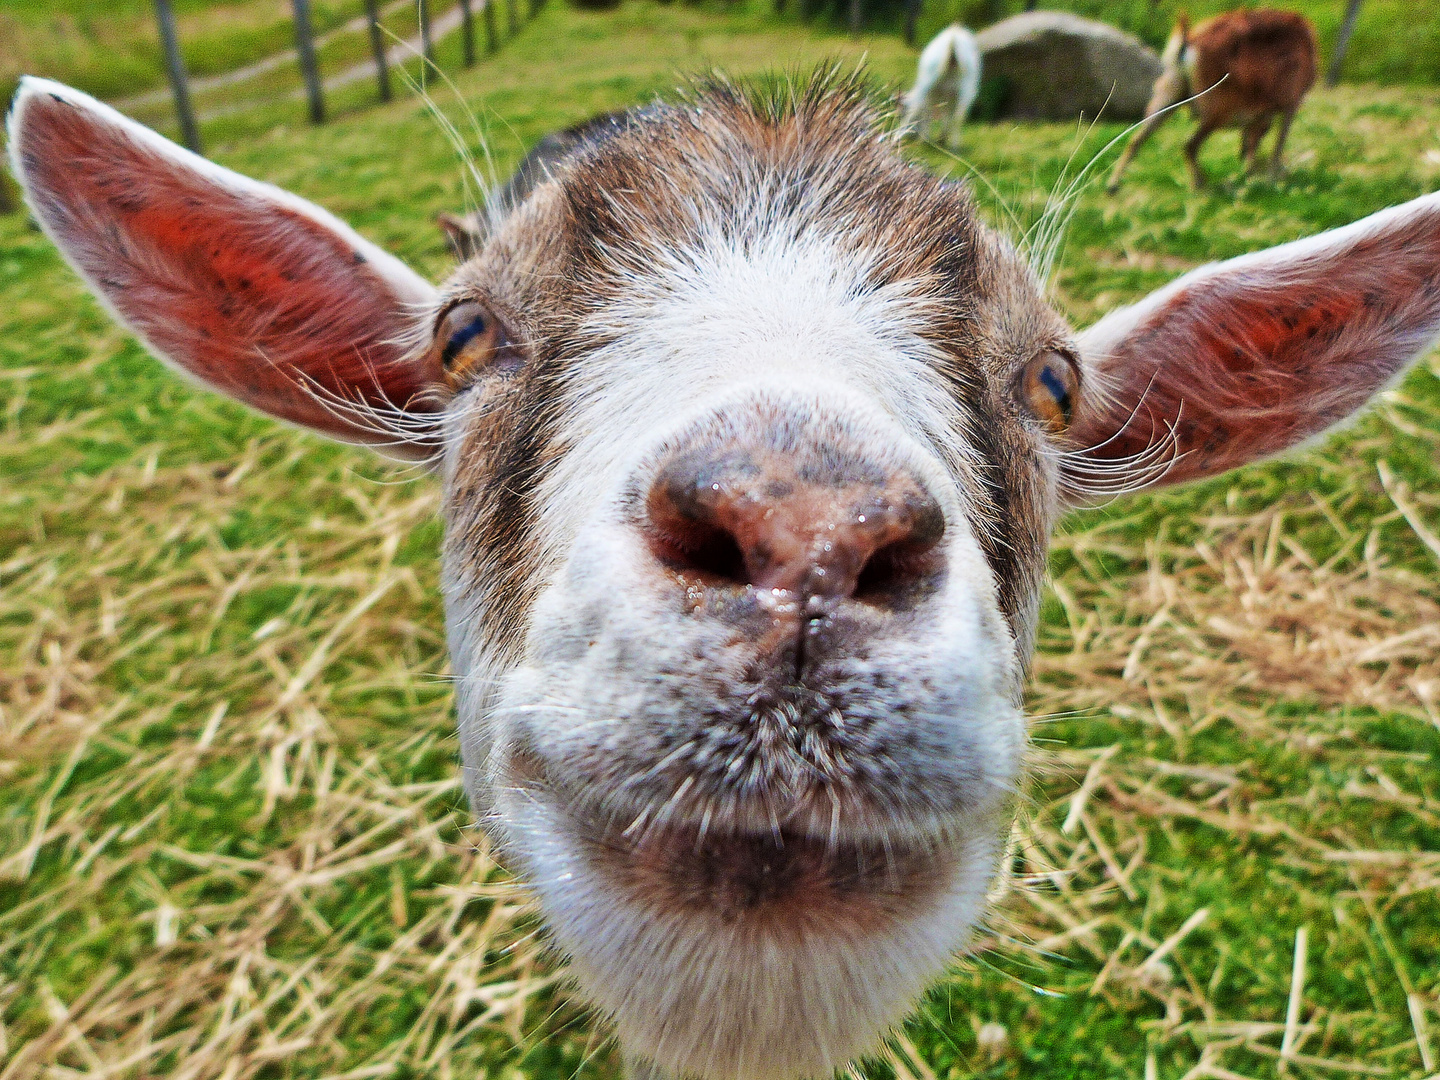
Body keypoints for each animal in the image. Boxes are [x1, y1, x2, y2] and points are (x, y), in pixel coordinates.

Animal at [1105, 8, 1319, 192]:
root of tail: (1188, 40)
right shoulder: (1291, 100)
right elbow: (1276, 142)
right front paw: (1273, 175)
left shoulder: (1261, 112)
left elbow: (1251, 141)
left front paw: (1251, 172)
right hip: (1218, 108)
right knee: (1189, 145)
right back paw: (1200, 186)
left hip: (1168, 96)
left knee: (1135, 139)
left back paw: (1113, 186)